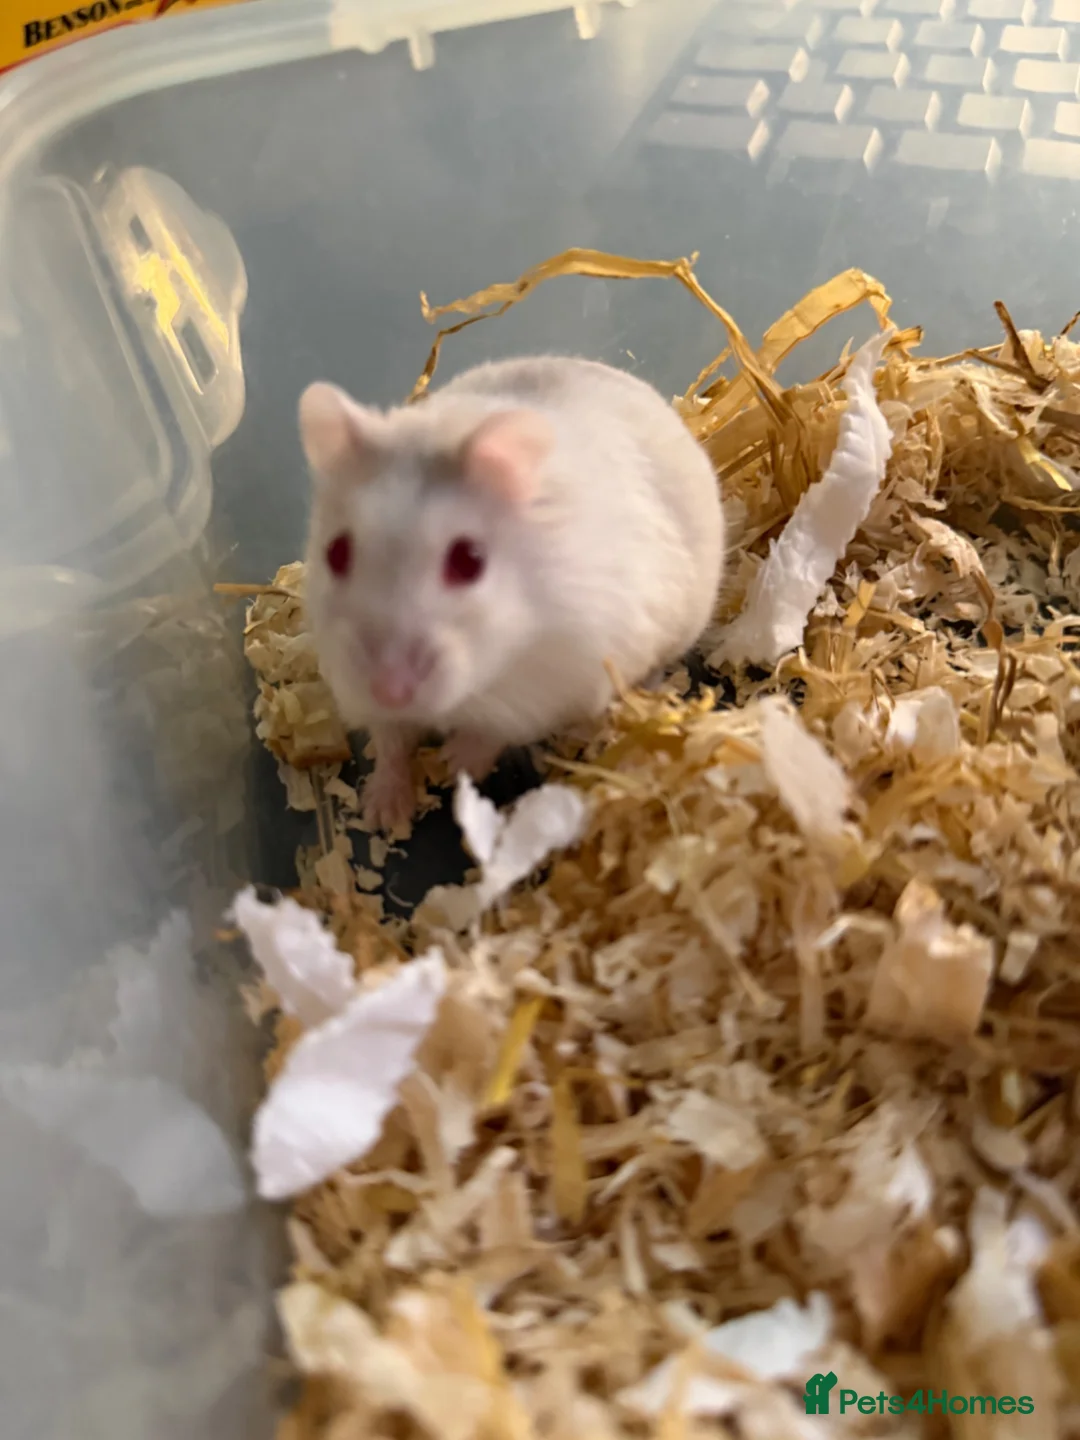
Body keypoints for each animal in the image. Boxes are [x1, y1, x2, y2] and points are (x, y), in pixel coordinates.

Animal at [297, 355, 726, 831]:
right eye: (335, 553)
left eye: (469, 560)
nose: (390, 692)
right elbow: (390, 742)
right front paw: (383, 814)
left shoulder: (550, 686)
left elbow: (491, 732)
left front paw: (452, 764)